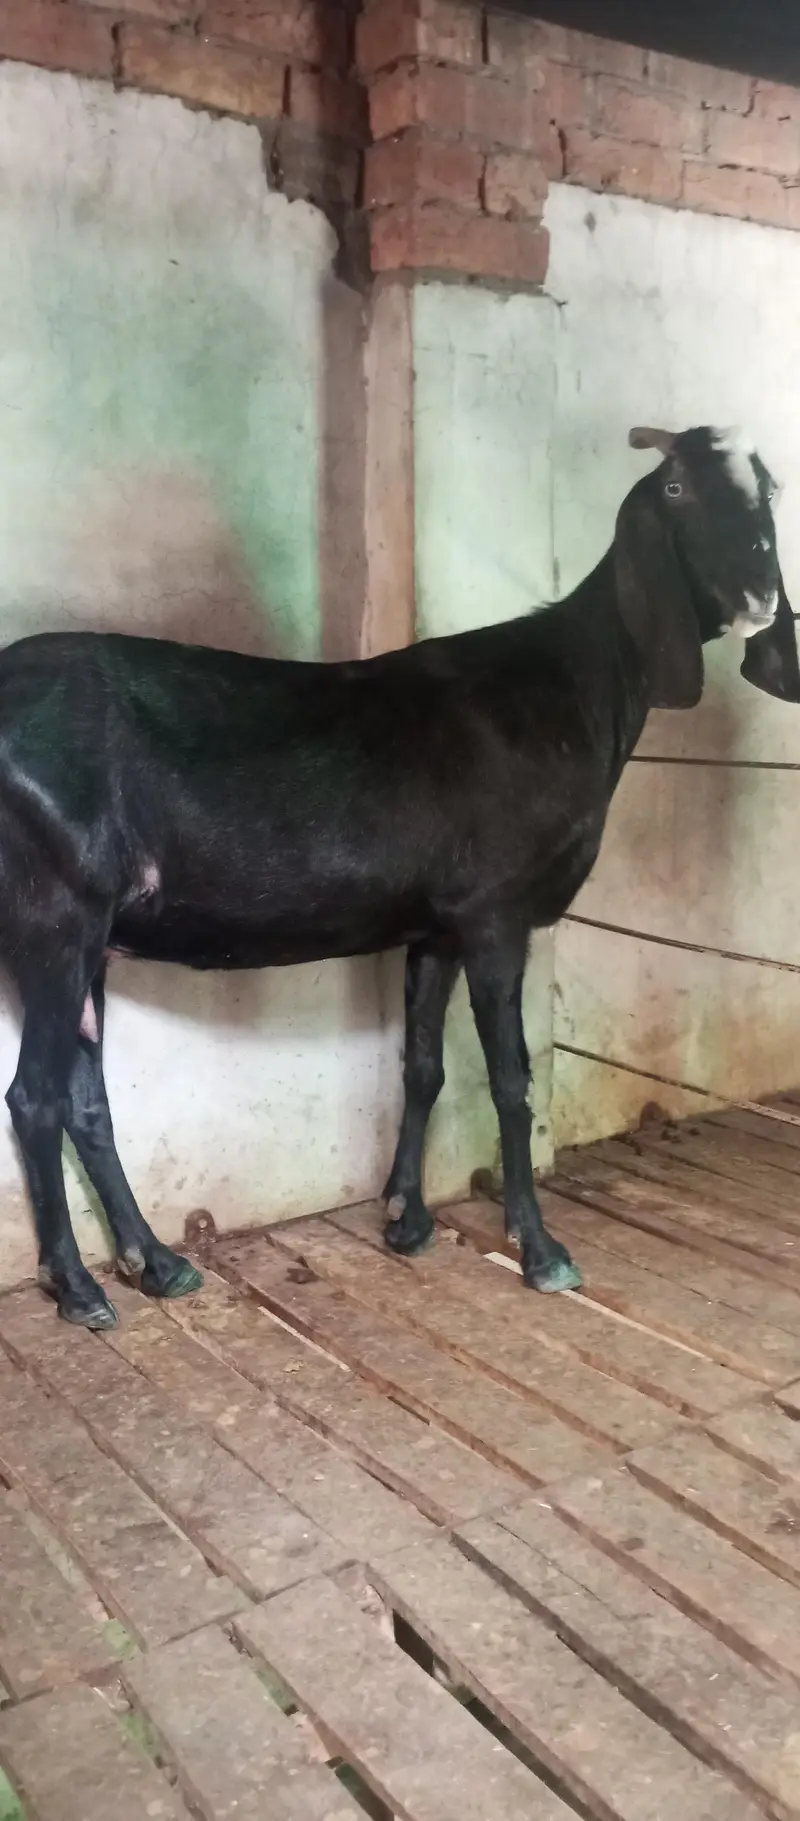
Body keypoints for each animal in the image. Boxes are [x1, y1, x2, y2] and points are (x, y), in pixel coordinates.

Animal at [0, 424, 796, 1329]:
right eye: (675, 488)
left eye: (768, 492)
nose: (763, 592)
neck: (575, 690)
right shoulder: (495, 911)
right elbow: (512, 1078)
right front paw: (541, 1249)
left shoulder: (436, 924)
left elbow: (423, 1066)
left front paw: (405, 1217)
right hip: (56, 911)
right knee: (34, 1099)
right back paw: (81, 1287)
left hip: (93, 932)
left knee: (85, 1098)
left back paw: (159, 1263)